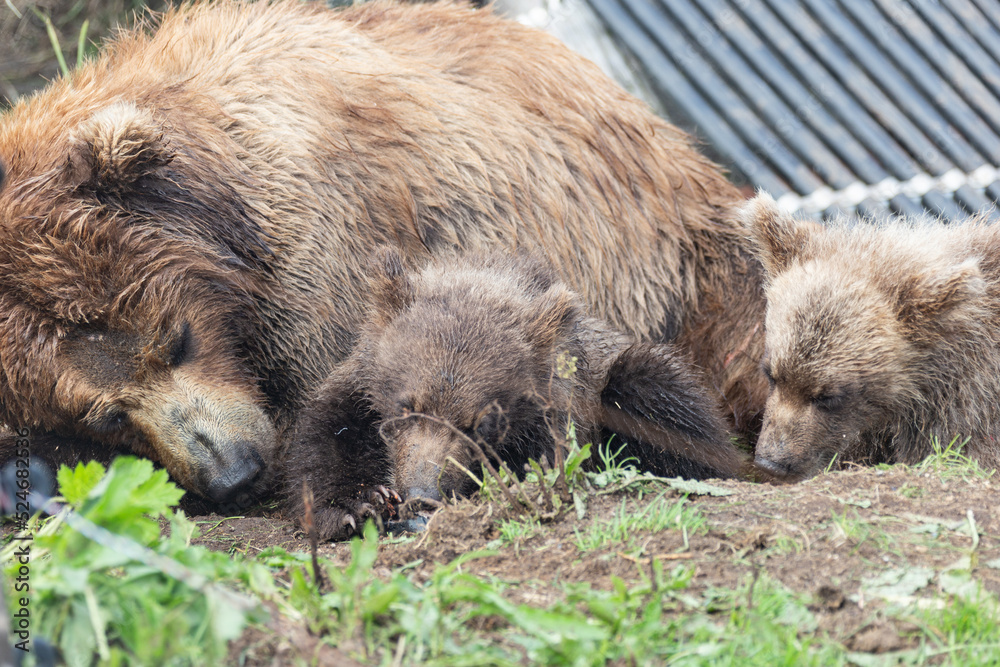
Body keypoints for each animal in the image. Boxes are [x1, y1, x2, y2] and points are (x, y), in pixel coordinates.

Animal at [286, 248, 750, 540]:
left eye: (480, 423)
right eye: (406, 406)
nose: (422, 495)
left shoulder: (556, 419)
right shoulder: (359, 390)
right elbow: (325, 441)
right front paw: (358, 505)